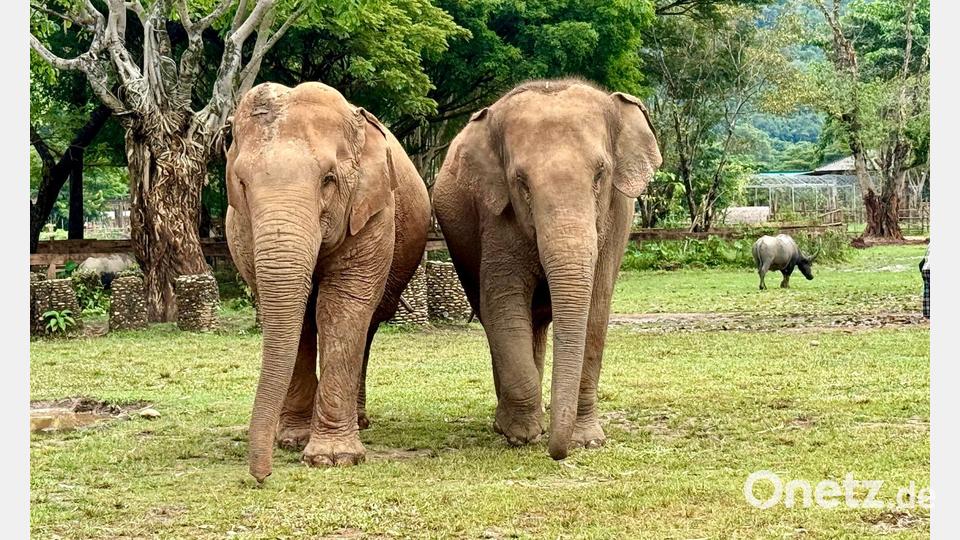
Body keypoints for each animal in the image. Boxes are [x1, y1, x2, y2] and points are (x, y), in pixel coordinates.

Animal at [225, 82, 430, 481]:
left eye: (328, 180)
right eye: (241, 182)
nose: (261, 476)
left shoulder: (373, 213)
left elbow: (341, 308)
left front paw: (334, 458)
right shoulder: (242, 229)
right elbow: (296, 318)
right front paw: (292, 440)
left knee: (368, 325)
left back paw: (360, 421)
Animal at [432, 78, 662, 460]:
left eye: (600, 174)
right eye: (521, 183)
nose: (558, 453)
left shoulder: (616, 218)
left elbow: (596, 311)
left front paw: (588, 440)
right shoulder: (496, 217)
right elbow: (502, 305)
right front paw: (522, 435)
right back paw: (510, 423)